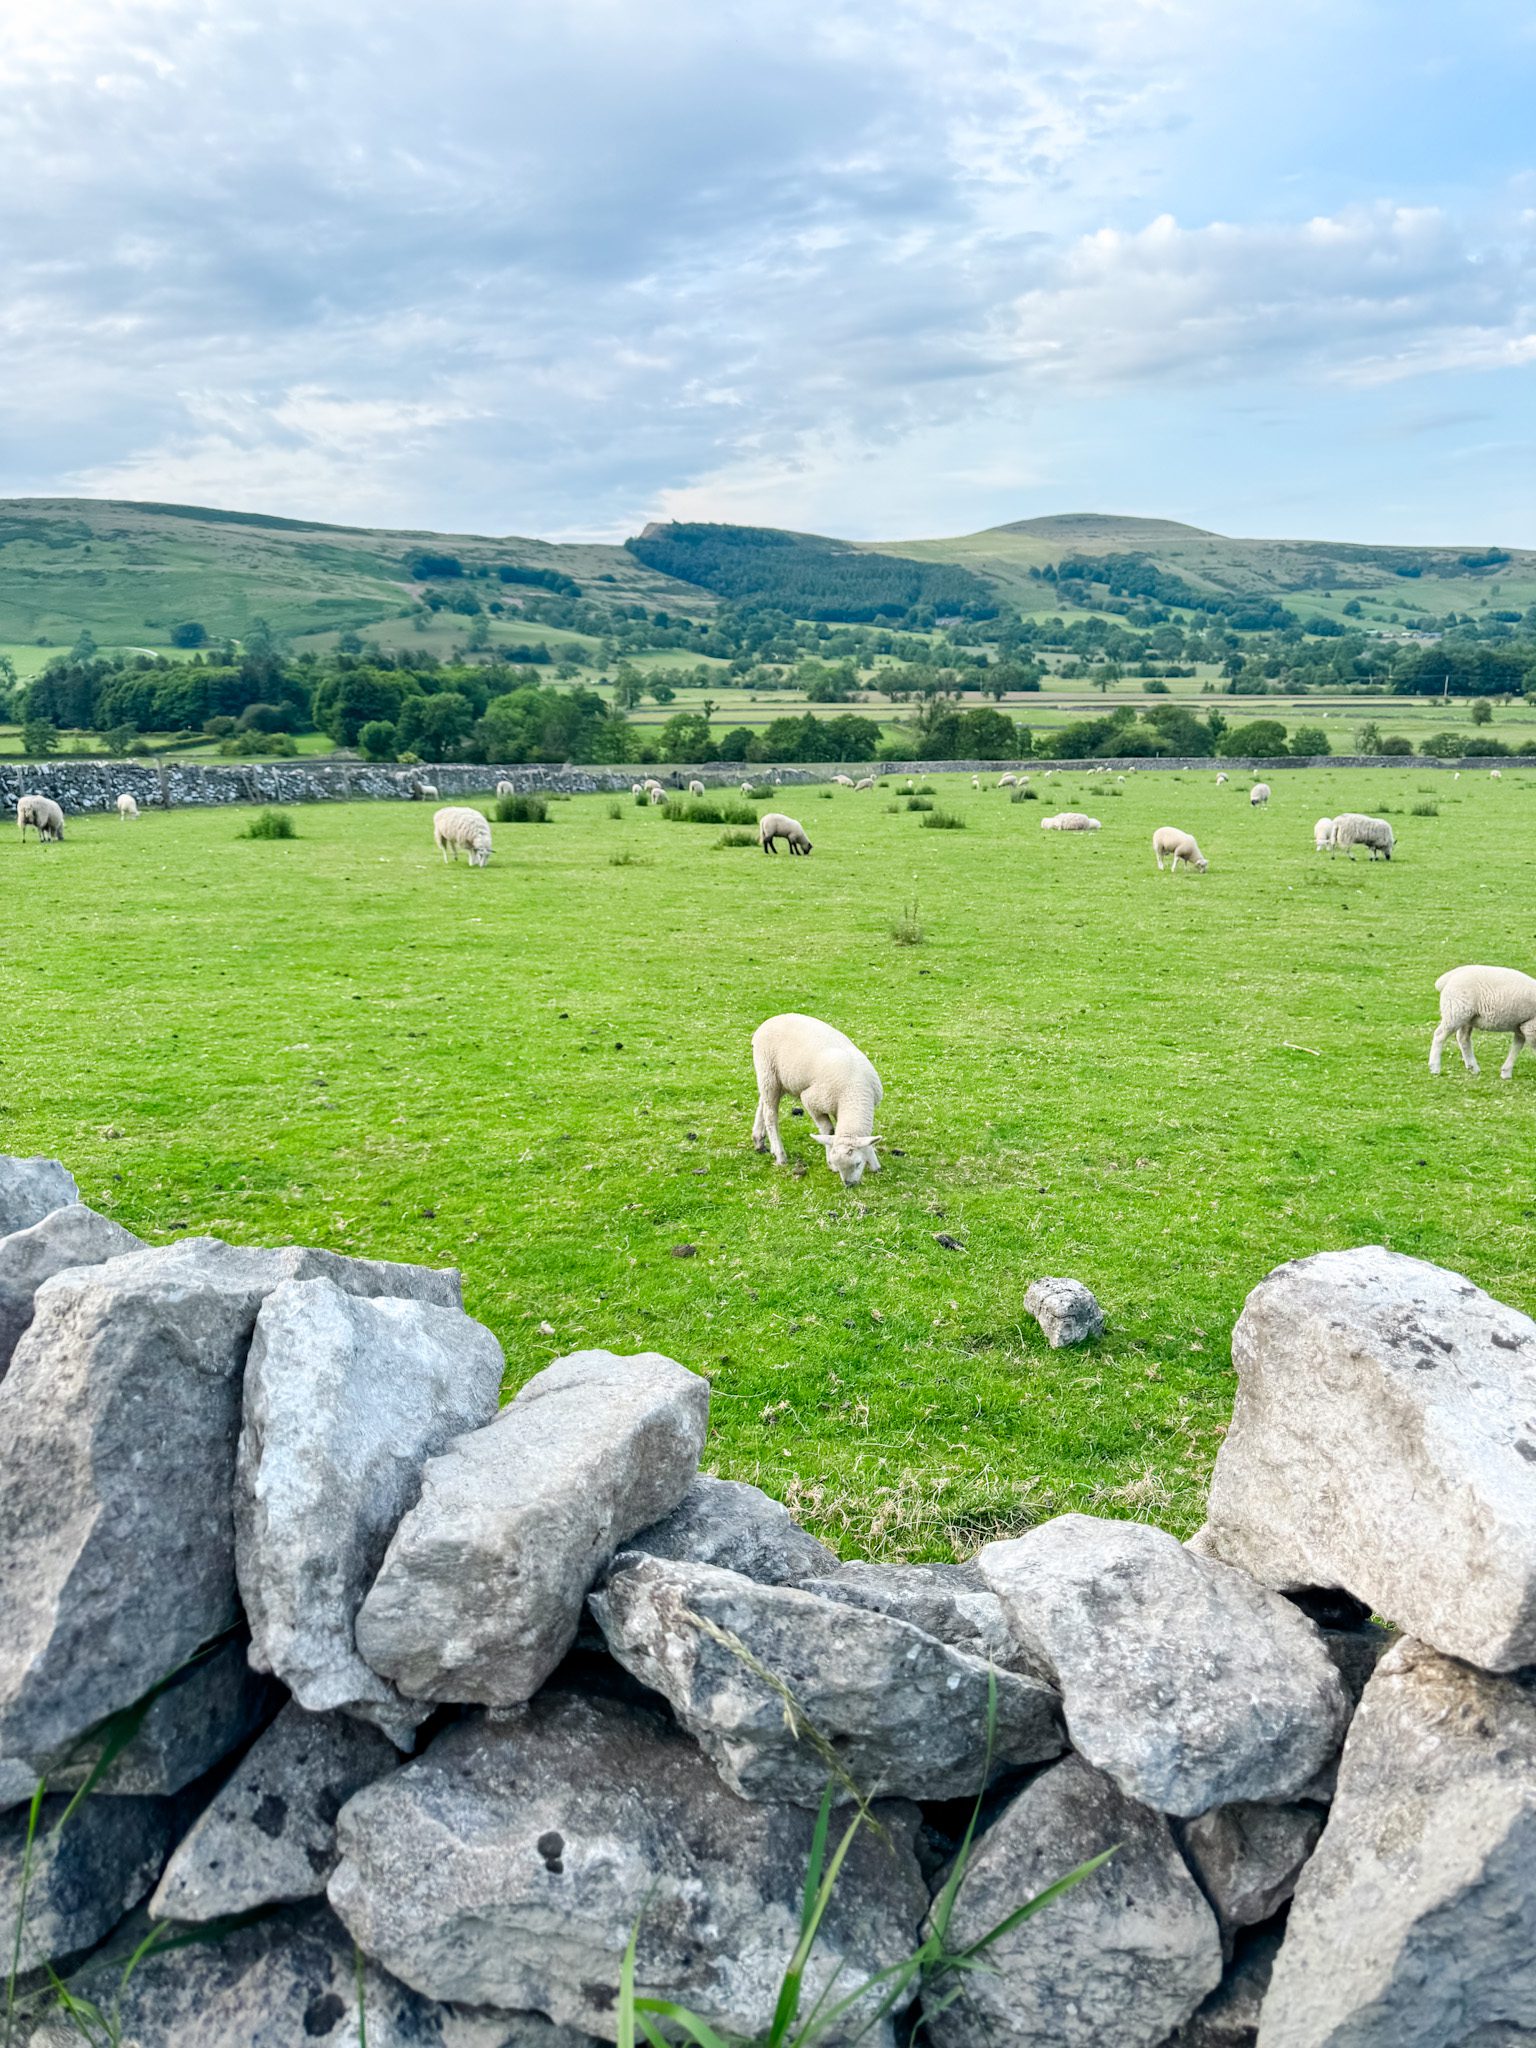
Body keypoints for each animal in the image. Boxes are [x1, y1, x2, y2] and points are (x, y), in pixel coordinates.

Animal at [751, 1013, 882, 1187]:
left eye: (858, 1163)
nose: (849, 1185)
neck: (854, 1093)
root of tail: (770, 1020)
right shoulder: (811, 1101)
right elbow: (828, 1130)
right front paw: (831, 1164)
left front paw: (874, 1163)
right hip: (767, 1070)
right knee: (770, 1115)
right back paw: (780, 1155)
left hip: (779, 1079)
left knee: (763, 1103)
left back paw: (759, 1140)